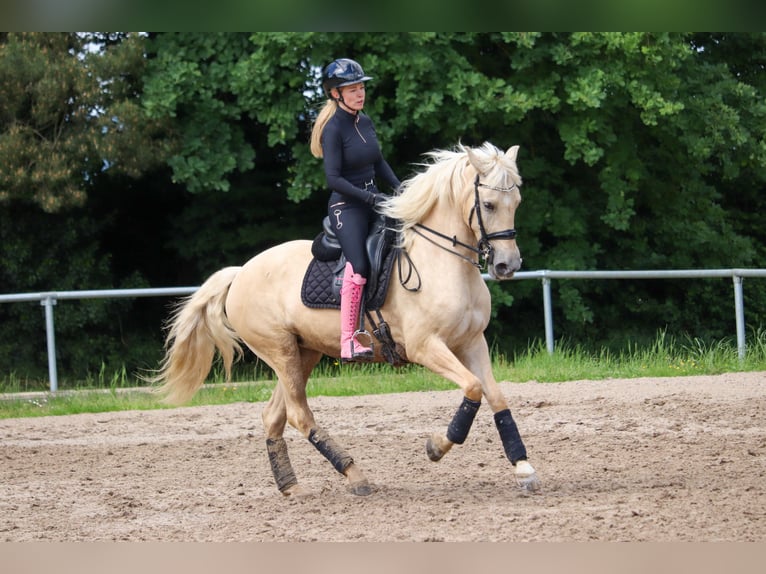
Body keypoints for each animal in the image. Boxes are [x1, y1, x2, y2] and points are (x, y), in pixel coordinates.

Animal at [151, 141, 541, 496]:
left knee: (274, 415)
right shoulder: (425, 346)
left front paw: (524, 468)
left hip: (302, 353)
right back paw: (355, 475)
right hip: (280, 351)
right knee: (298, 415)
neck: (441, 262)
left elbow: (496, 396)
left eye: (517, 203)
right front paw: (436, 446)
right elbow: (473, 389)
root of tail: (241, 272)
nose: (507, 265)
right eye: (488, 205)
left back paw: (290, 485)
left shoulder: (472, 342)